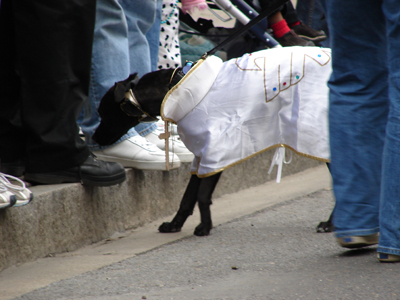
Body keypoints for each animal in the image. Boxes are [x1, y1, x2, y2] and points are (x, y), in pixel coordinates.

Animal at [92, 69, 332, 236]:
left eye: (103, 114)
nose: (94, 140)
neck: (176, 87)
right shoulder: (200, 157)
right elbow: (188, 197)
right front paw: (174, 225)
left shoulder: (213, 155)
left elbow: (201, 196)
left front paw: (205, 227)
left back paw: (331, 224)